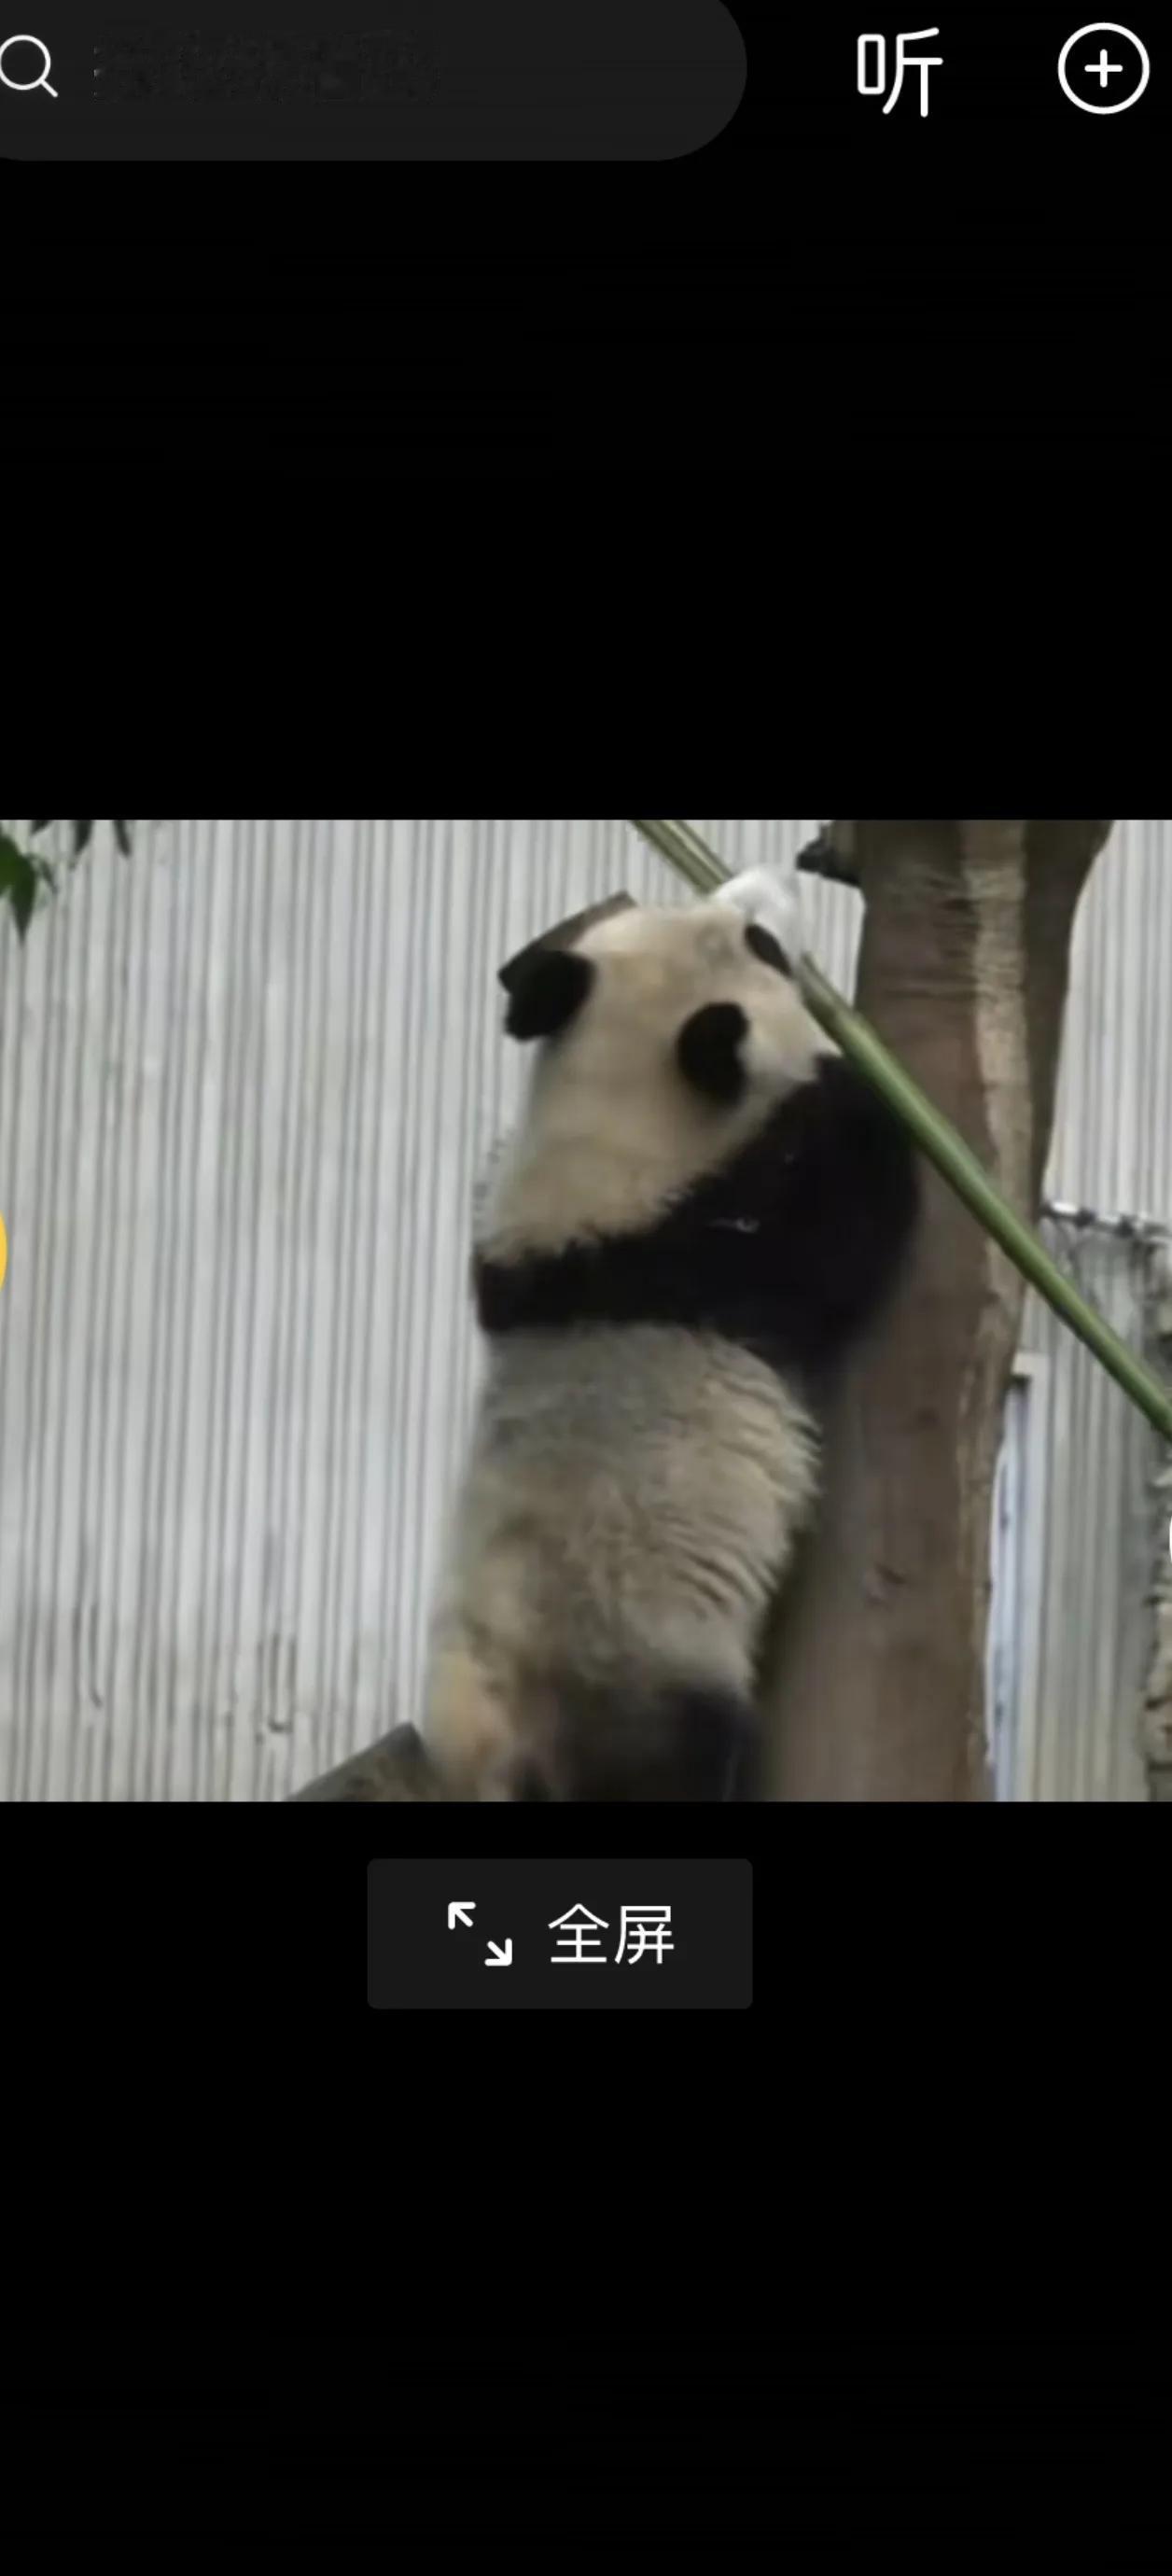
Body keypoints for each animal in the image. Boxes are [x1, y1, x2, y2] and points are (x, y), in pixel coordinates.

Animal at [417, 880, 922, 1792]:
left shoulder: (511, 1248)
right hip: (636, 1665)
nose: (773, 882)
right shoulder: (720, 1254)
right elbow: (843, 1231)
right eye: (760, 945)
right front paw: (862, 1089)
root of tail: (494, 1757)